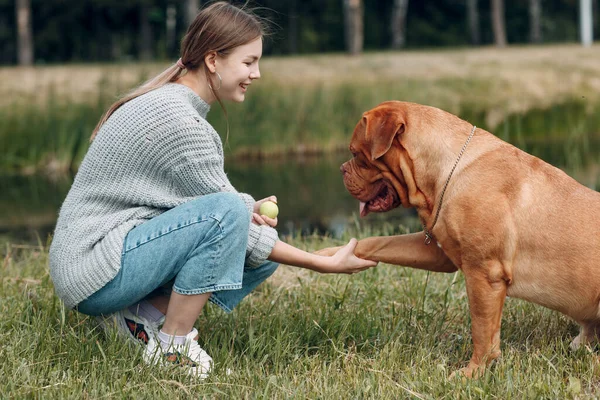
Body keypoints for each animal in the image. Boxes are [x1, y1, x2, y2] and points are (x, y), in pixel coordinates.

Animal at [322, 100, 600, 378]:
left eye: (357, 154)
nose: (341, 169)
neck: (447, 172)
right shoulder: (439, 252)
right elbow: (378, 242)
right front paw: (331, 255)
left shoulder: (484, 274)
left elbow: (481, 329)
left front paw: (472, 372)